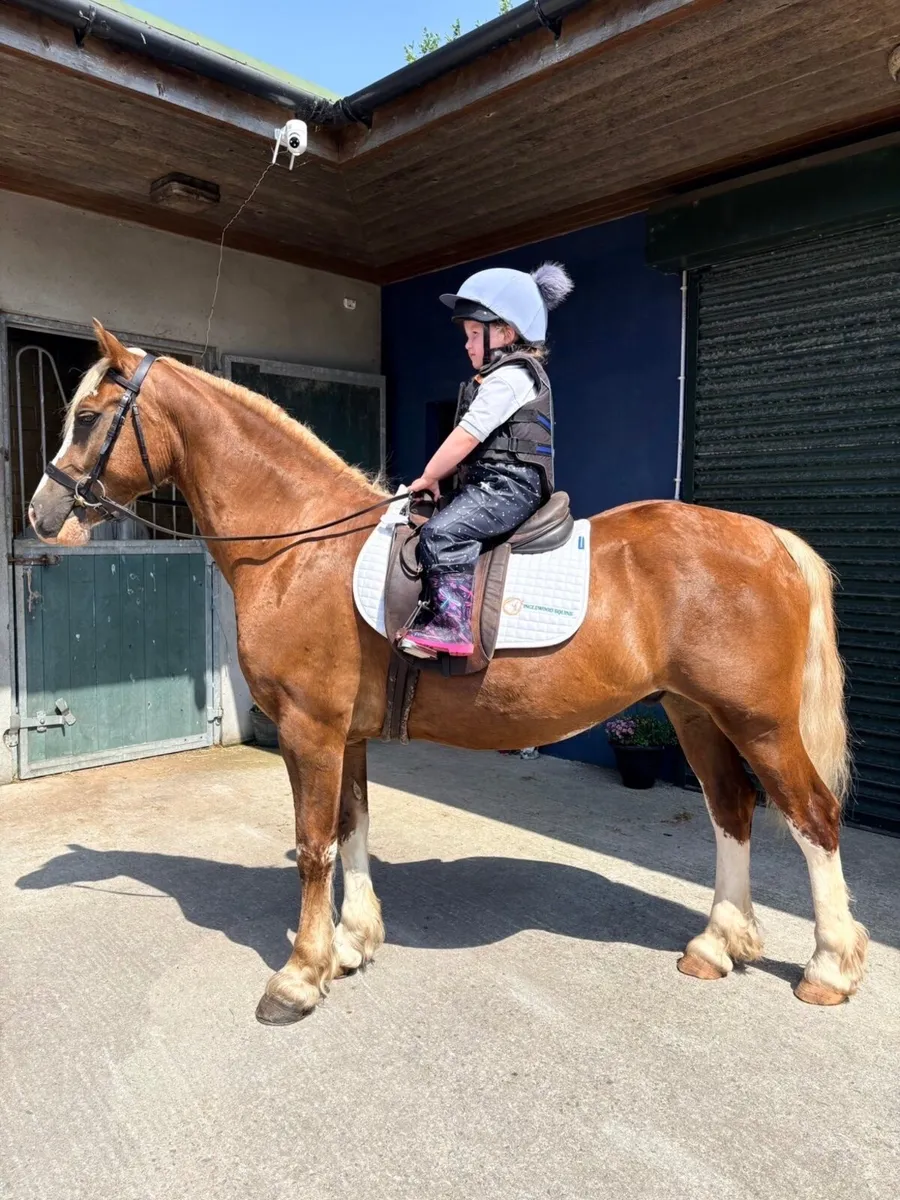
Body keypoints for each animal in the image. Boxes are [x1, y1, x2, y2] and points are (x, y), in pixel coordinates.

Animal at [28, 323, 868, 1024]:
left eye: (91, 416)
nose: (40, 515)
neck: (302, 546)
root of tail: (770, 541)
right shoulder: (347, 735)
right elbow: (353, 828)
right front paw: (353, 943)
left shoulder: (311, 729)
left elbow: (314, 845)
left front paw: (300, 975)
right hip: (696, 714)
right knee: (733, 812)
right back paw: (717, 945)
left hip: (759, 722)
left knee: (812, 818)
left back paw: (830, 965)